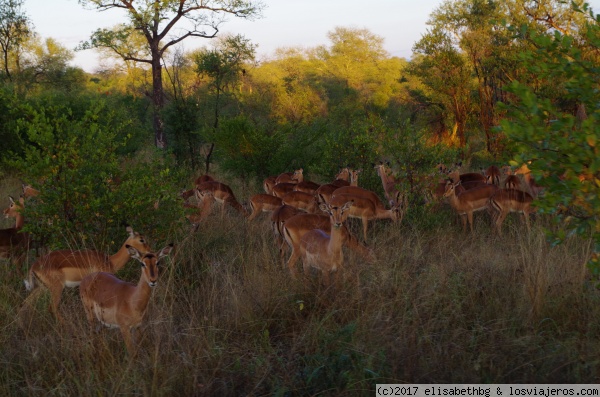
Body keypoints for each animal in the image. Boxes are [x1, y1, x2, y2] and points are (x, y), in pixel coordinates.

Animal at [24, 224, 152, 320]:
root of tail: (34, 266)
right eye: (142, 239)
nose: (150, 252)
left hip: (41, 288)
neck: (109, 261)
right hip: (56, 288)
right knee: (52, 308)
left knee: (25, 304)